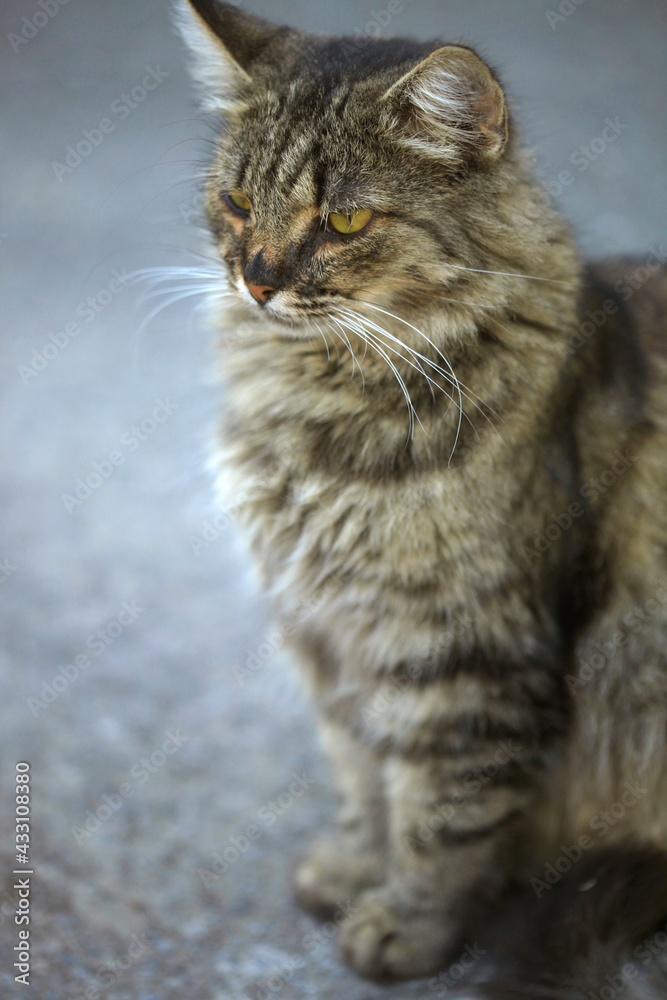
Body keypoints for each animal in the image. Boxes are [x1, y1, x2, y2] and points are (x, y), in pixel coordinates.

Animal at [177, 3, 667, 996]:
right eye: (239, 203)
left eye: (344, 219)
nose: (256, 278)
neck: (320, 403)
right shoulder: (331, 633)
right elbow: (363, 777)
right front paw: (350, 868)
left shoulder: (464, 649)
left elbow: (444, 814)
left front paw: (405, 926)